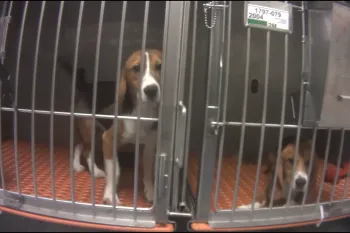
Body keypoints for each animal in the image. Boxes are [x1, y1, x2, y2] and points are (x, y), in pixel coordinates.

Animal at [100, 48, 162, 204]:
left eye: (160, 66)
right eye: (136, 68)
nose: (151, 90)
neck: (142, 112)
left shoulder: (149, 145)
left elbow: (148, 171)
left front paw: (150, 190)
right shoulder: (108, 140)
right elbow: (113, 171)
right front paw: (110, 194)